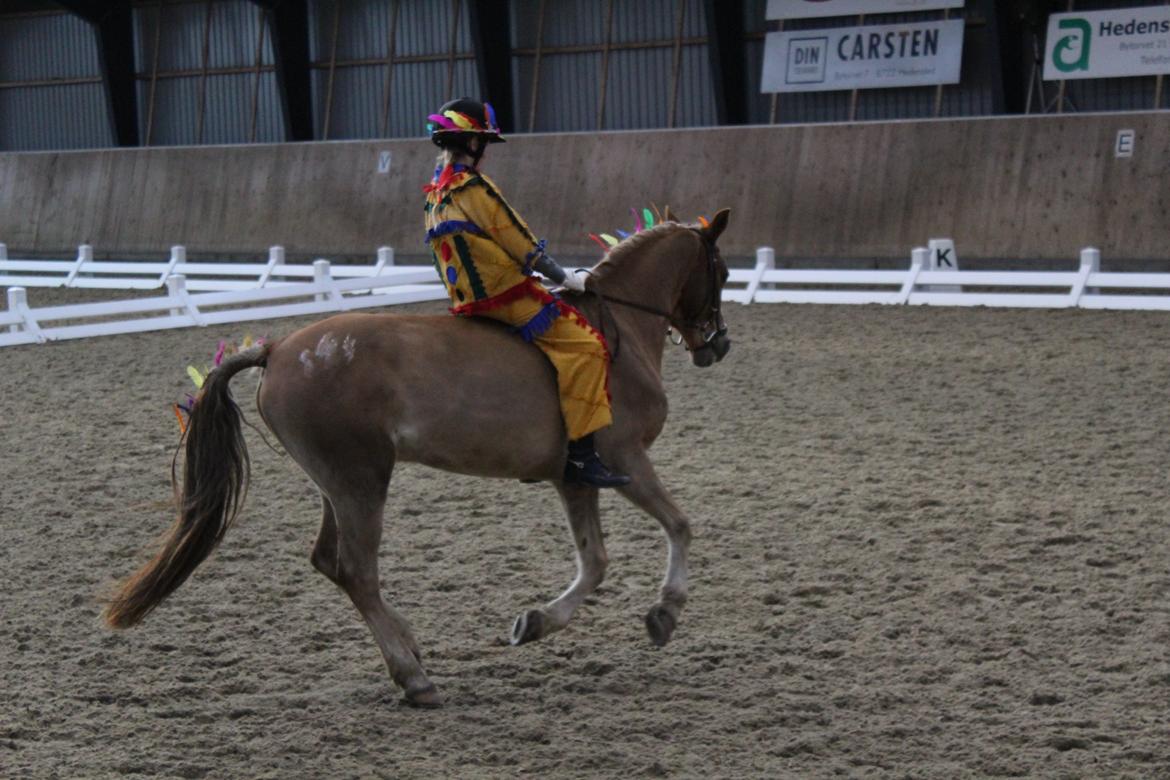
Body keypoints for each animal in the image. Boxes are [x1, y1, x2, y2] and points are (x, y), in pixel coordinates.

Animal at [107, 206, 730, 706]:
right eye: (721, 273)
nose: (718, 346)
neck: (618, 328)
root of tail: (278, 348)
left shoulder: (574, 479)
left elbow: (595, 561)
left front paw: (535, 623)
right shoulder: (625, 460)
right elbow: (679, 525)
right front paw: (664, 614)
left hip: (338, 485)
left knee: (330, 562)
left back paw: (409, 652)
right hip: (361, 482)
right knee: (357, 571)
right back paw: (414, 677)